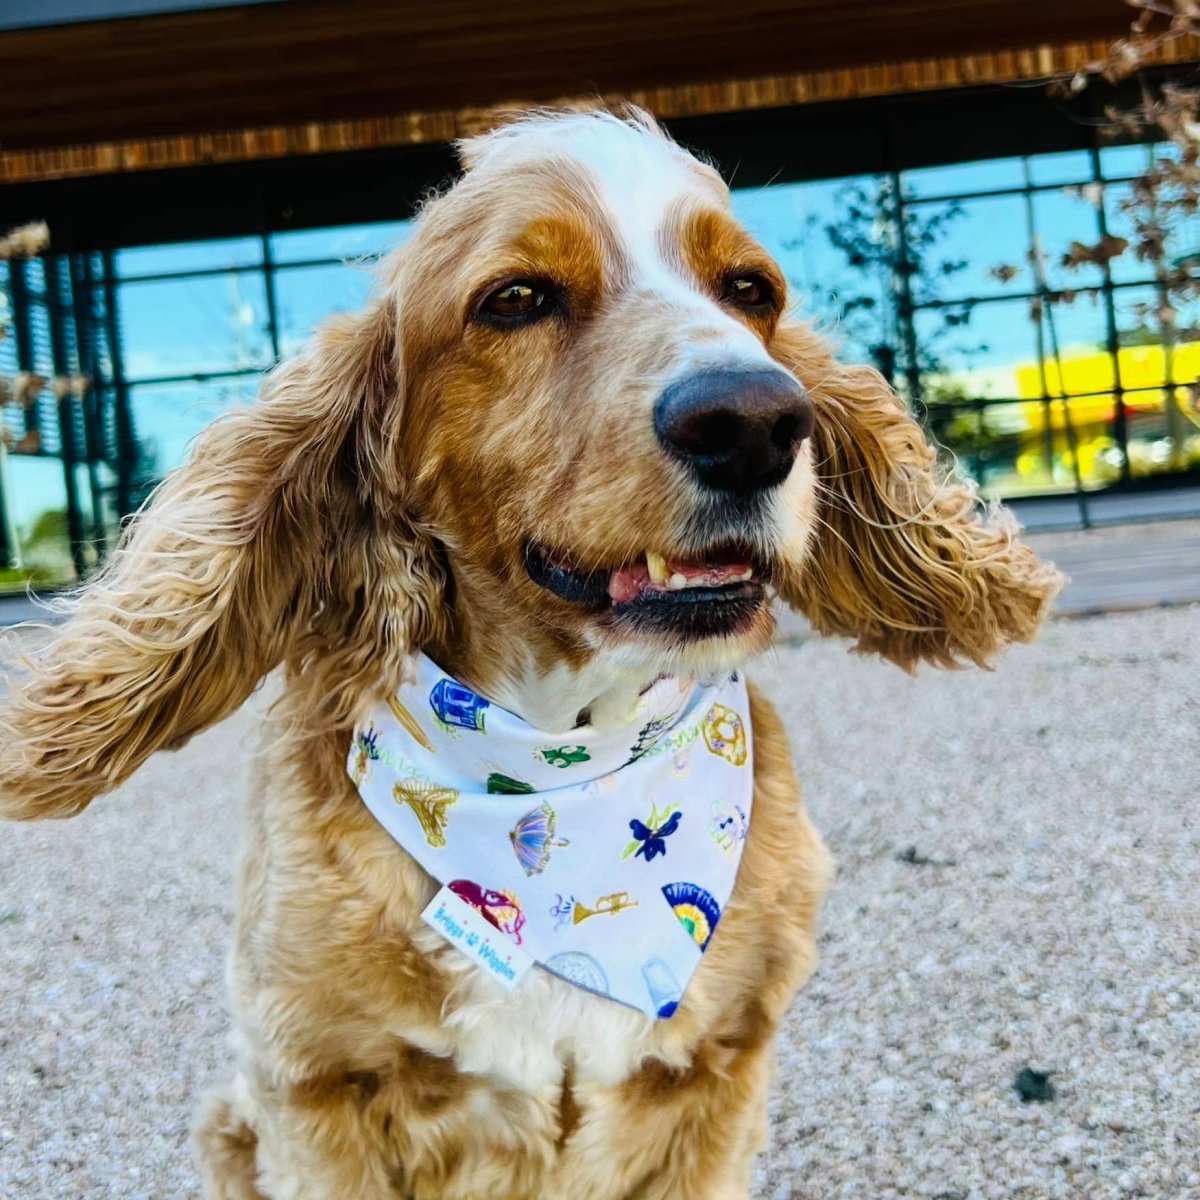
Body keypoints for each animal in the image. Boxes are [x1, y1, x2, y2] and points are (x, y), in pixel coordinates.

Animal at [0, 105, 1060, 1200]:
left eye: (750, 291)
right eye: (517, 298)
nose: (756, 420)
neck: (565, 758)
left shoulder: (720, 1068)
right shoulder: (316, 1087)